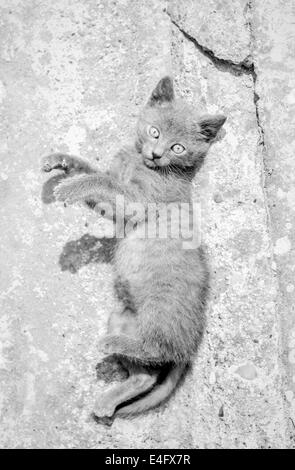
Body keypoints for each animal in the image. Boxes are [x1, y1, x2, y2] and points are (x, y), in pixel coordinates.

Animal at [41, 76, 227, 418]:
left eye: (177, 147)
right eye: (154, 132)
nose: (156, 154)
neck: (141, 162)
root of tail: (190, 348)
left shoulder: (139, 202)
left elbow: (103, 180)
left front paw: (70, 186)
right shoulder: (116, 208)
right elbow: (97, 173)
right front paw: (62, 161)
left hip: (158, 310)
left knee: (156, 350)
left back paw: (109, 345)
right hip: (122, 316)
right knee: (145, 375)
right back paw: (107, 401)